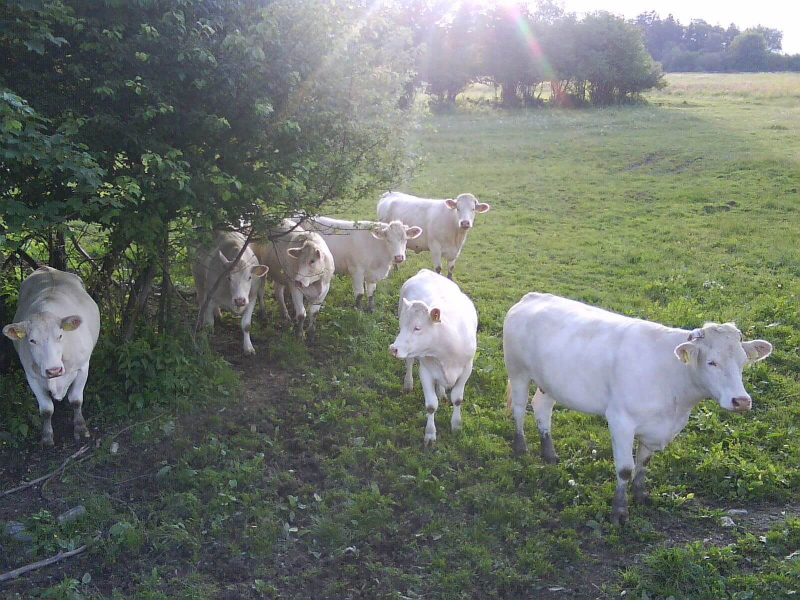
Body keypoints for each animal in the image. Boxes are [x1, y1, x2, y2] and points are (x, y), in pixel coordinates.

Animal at [1, 268, 101, 446]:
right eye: (32, 340)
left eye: (60, 335)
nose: (54, 370)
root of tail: (47, 268)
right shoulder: (31, 377)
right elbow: (46, 409)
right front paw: (47, 436)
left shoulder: (83, 367)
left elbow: (76, 400)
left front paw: (80, 429)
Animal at [390, 270, 478, 442]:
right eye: (402, 326)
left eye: (417, 328)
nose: (393, 348)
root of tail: (426, 271)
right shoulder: (425, 370)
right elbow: (431, 406)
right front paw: (430, 434)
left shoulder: (467, 368)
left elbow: (457, 398)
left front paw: (456, 425)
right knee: (409, 362)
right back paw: (408, 384)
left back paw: (442, 392)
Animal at [504, 292, 772, 524]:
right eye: (711, 362)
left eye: (743, 361)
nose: (741, 401)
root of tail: (533, 296)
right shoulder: (620, 420)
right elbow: (625, 469)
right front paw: (619, 511)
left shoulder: (655, 428)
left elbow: (643, 463)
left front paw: (641, 494)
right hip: (517, 371)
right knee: (518, 408)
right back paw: (520, 448)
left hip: (550, 383)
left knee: (541, 407)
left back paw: (549, 454)